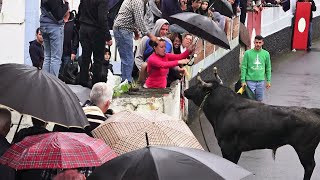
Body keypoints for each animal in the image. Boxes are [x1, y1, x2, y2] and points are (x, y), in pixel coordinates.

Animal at [184, 75, 320, 179]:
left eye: (199, 86)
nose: (185, 91)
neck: (224, 108)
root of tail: (312, 111)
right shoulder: (237, 149)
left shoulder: (227, 147)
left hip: (305, 149)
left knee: (309, 166)